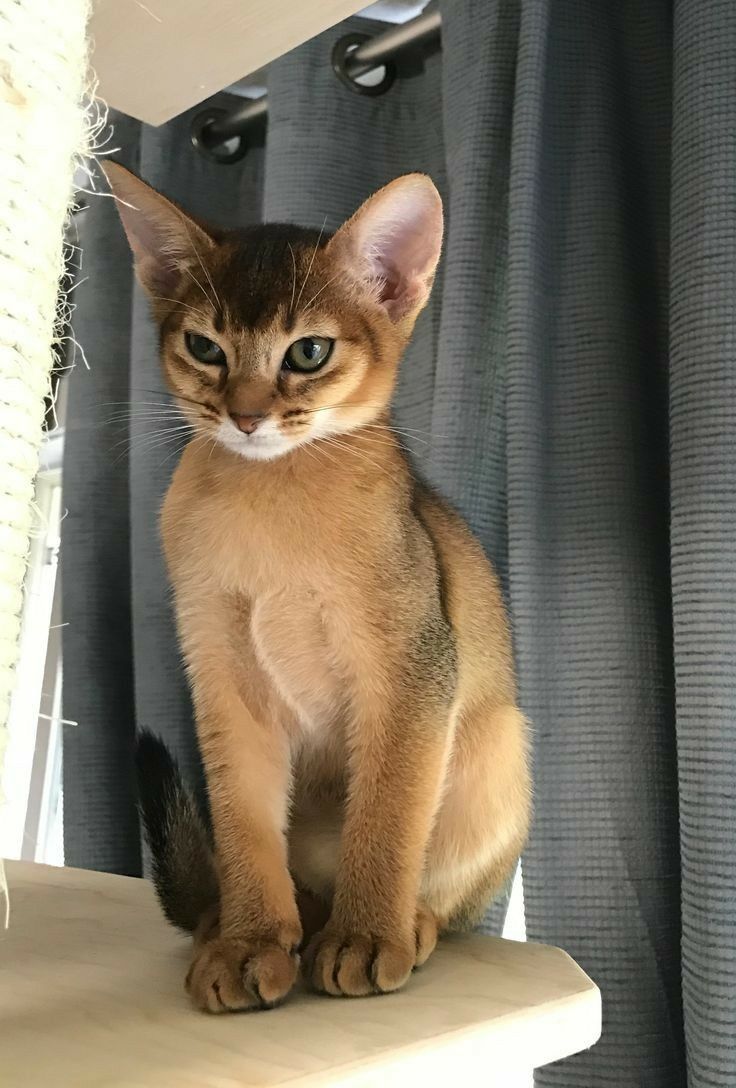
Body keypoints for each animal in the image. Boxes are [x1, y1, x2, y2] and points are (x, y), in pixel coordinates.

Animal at [106, 161, 531, 1009]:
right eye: (203, 346)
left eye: (307, 352)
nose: (244, 417)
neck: (271, 511)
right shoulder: (222, 679)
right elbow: (243, 824)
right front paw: (250, 942)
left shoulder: (411, 671)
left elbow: (388, 815)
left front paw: (366, 938)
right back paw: (251, 920)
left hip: (500, 744)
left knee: (449, 897)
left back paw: (403, 925)